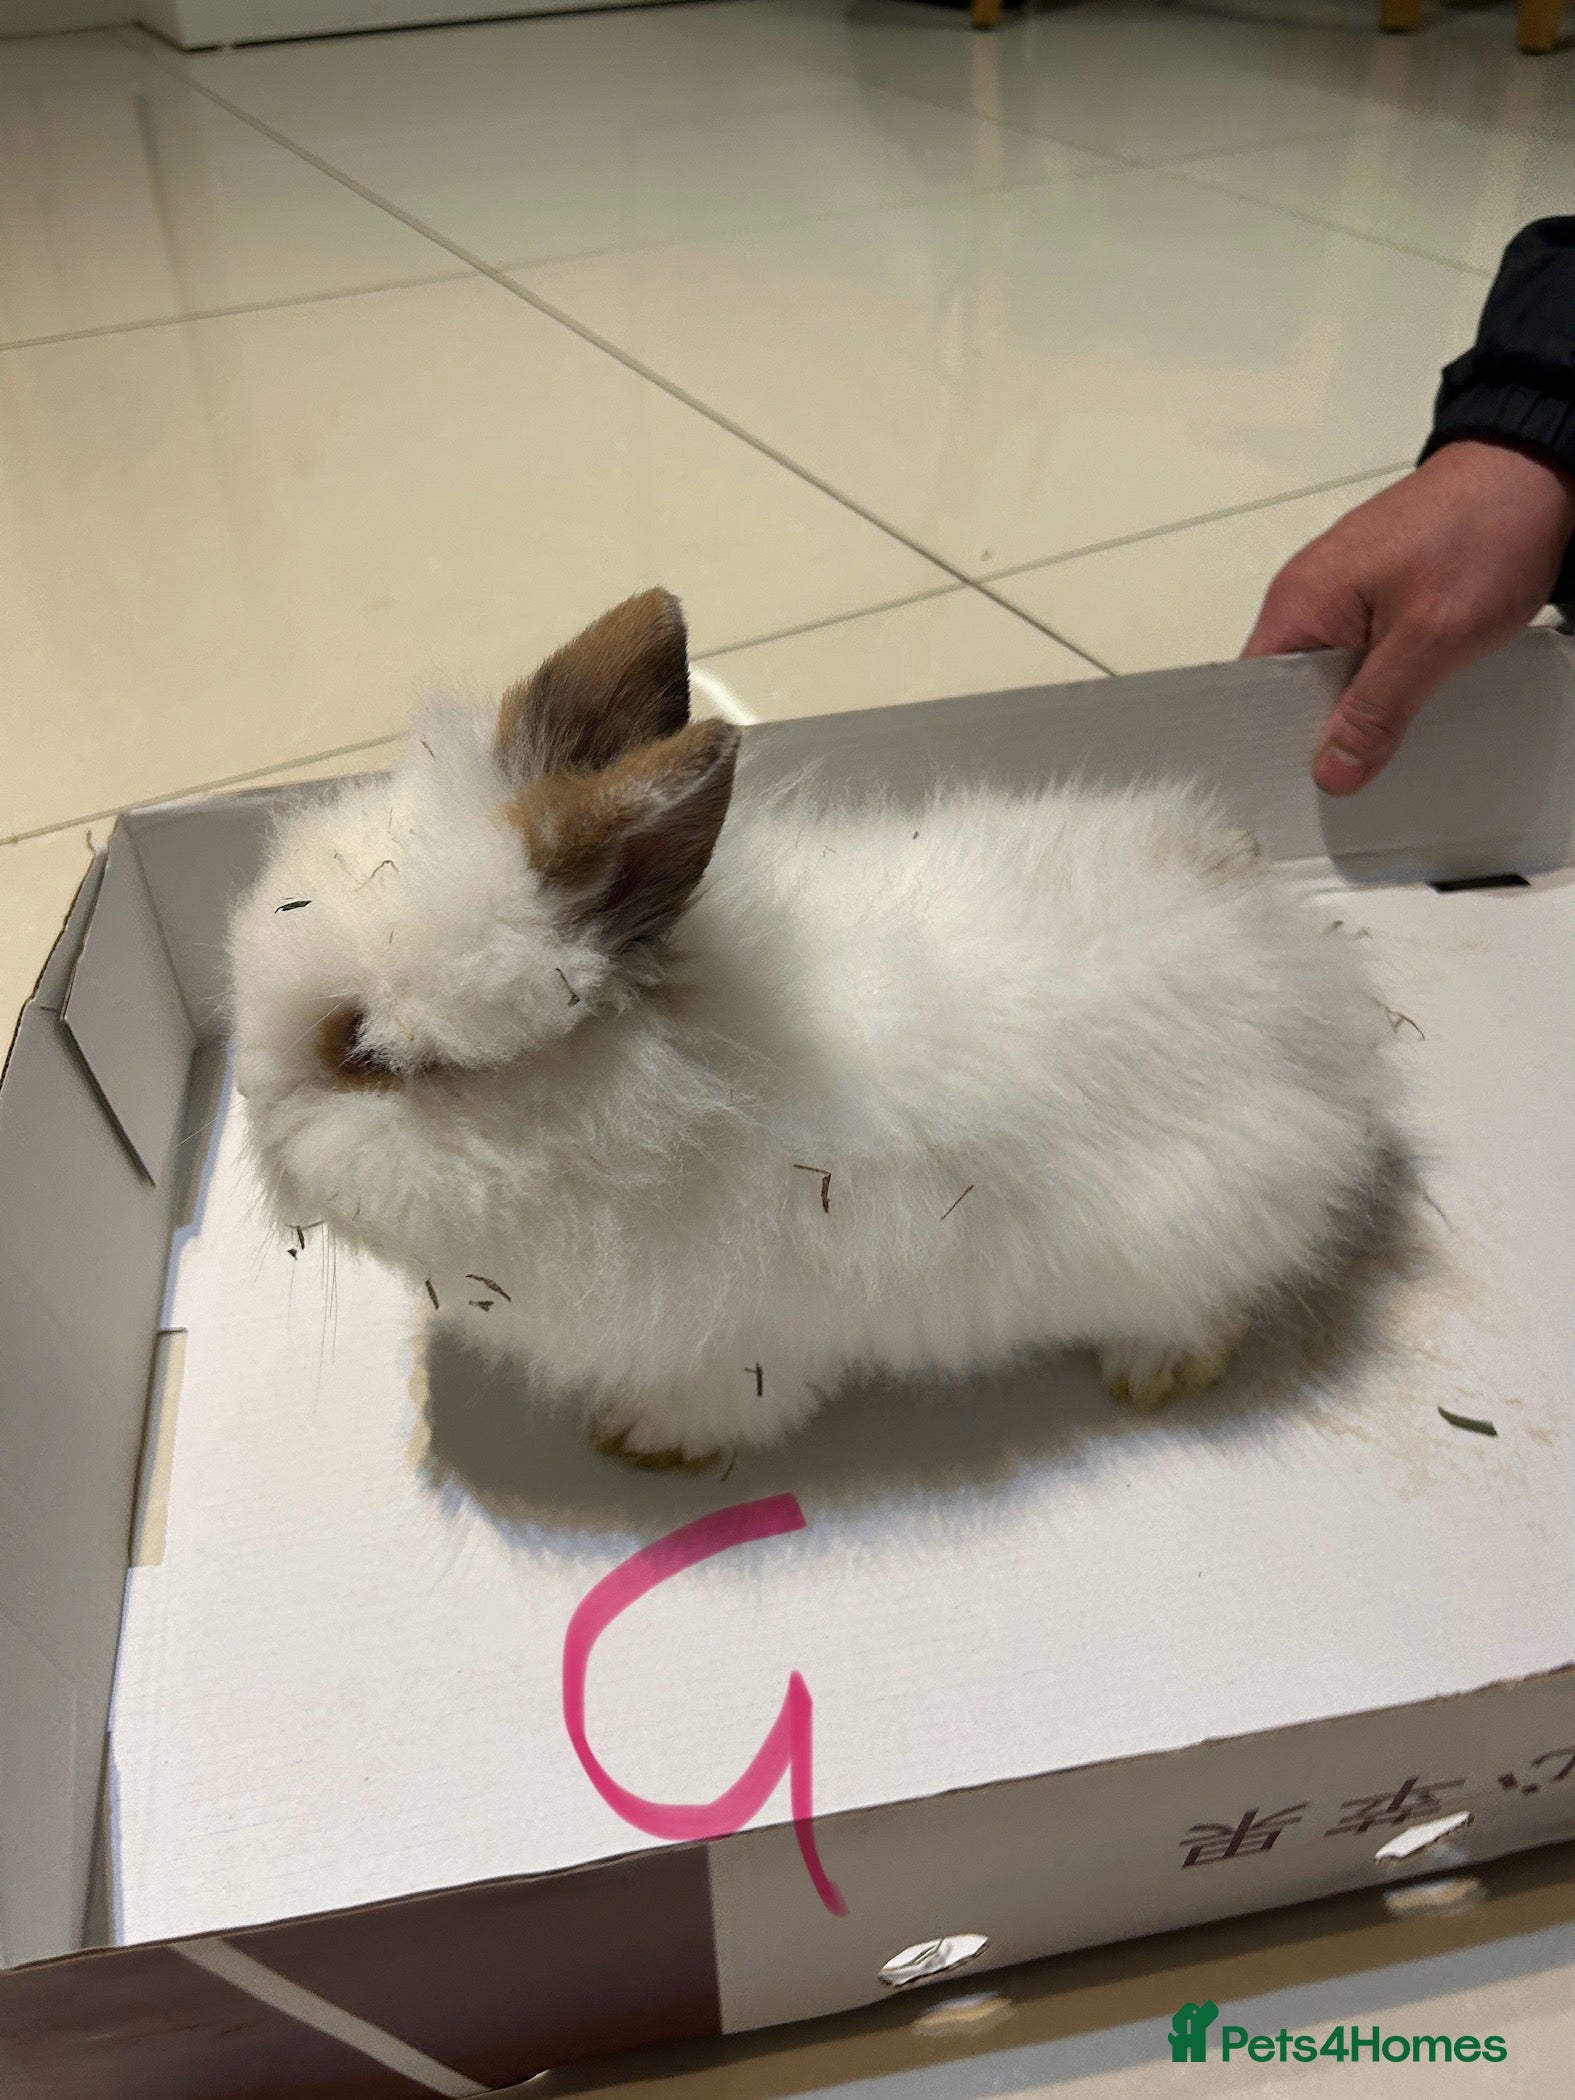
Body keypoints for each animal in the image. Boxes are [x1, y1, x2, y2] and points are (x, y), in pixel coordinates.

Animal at [230, 588, 1392, 1462]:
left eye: (367, 1052)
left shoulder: (731, 1339)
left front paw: (638, 1440)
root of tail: (1304, 977)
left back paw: (1157, 1373)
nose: (250, 1110)